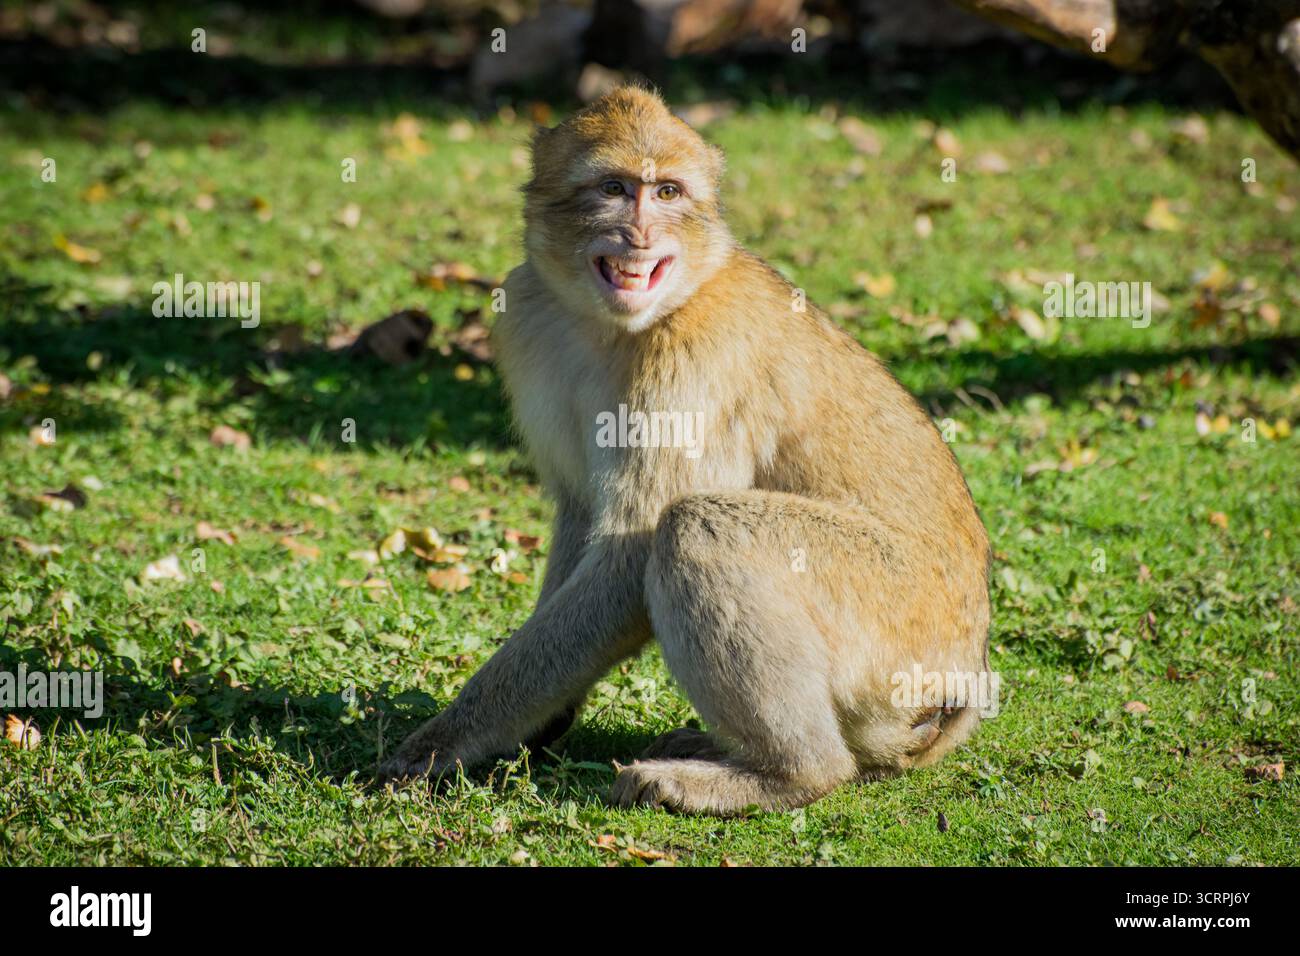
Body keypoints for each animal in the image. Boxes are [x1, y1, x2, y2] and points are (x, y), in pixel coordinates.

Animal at [379, 85, 991, 814]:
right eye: (614, 189)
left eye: (667, 192)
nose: (640, 235)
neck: (614, 326)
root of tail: (965, 672)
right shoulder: (529, 314)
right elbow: (581, 511)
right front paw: (545, 717)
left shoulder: (694, 356)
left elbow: (630, 552)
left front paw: (450, 736)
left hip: (896, 629)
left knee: (698, 526)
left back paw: (785, 774)